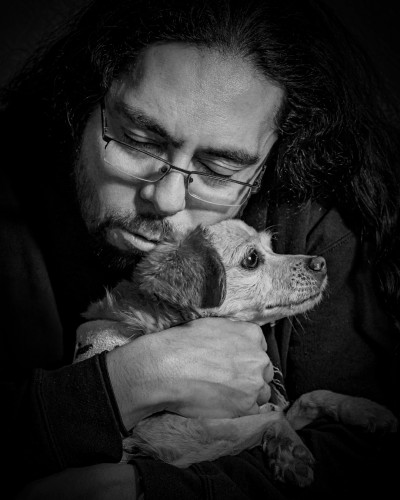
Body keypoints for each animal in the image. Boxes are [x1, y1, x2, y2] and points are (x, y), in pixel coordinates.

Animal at [75, 219, 397, 487]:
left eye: (271, 247)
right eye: (252, 259)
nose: (322, 262)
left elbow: (309, 397)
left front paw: (367, 411)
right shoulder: (179, 439)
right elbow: (272, 418)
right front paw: (290, 453)